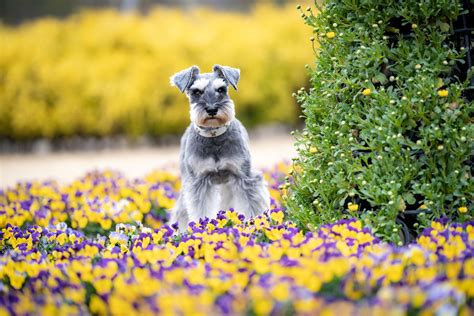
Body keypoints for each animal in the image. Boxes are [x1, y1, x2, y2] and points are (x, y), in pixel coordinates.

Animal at [169, 65, 270, 232]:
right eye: (197, 92)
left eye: (221, 89)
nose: (211, 109)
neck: (213, 135)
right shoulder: (199, 182)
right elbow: (200, 209)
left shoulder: (244, 177)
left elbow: (251, 205)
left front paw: (255, 225)